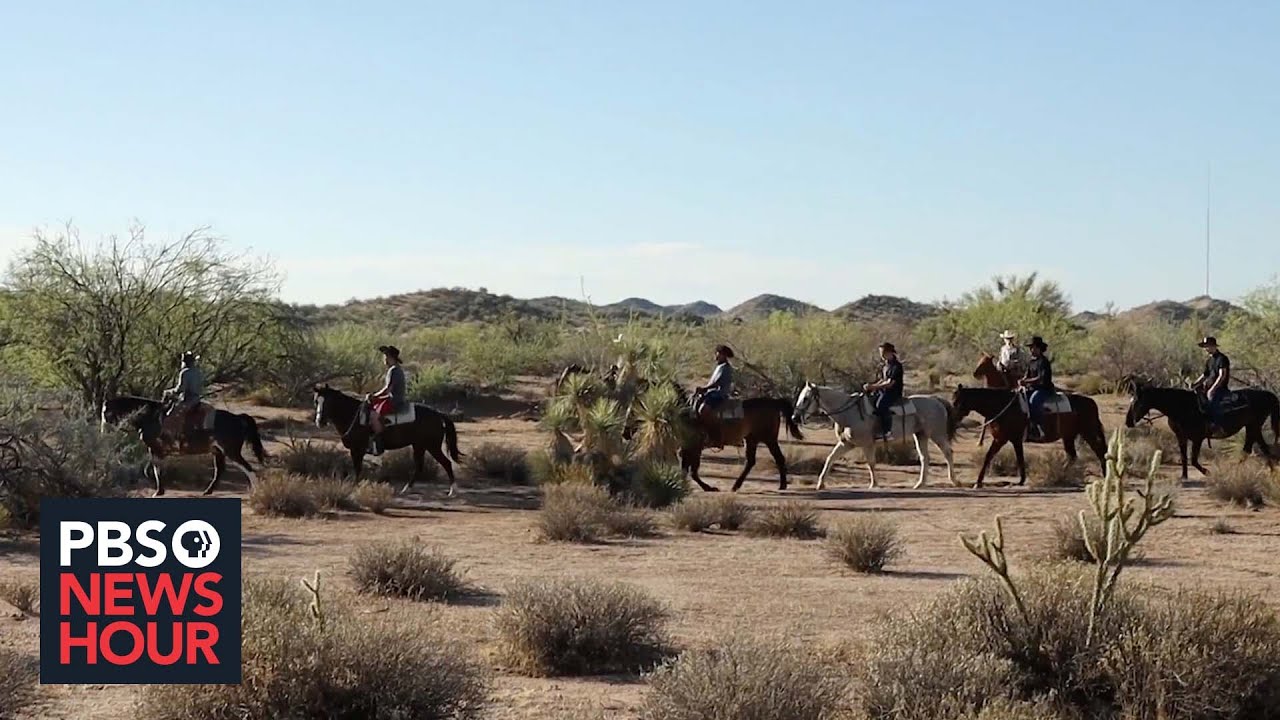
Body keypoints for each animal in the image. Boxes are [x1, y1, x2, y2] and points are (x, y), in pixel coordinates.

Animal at [101, 394, 267, 497]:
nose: (103, 431)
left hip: (231, 452)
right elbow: (154, 469)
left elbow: (154, 470)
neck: (148, 417)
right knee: (220, 471)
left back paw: (256, 491)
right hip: (218, 452)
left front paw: (158, 491)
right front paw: (159, 490)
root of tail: (238, 418)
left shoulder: (155, 449)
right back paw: (207, 491)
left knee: (249, 469)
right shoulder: (158, 451)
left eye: (105, 412)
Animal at [312, 381, 463, 491]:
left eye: (329, 401)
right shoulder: (356, 450)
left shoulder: (357, 449)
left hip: (432, 446)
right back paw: (406, 488)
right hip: (419, 446)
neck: (353, 414)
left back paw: (452, 490)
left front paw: (355, 487)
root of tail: (438, 414)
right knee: (420, 466)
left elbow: (357, 468)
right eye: (316, 401)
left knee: (446, 463)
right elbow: (357, 468)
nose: (319, 421)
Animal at [788, 381, 962, 491]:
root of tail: (936, 400)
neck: (848, 412)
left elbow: (871, 463)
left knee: (948, 453)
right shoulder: (846, 443)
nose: (794, 418)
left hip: (937, 434)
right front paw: (820, 484)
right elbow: (830, 458)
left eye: (805, 398)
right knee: (925, 457)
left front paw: (874, 484)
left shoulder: (866, 444)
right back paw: (920, 484)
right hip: (921, 435)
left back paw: (954, 481)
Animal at [952, 384, 1111, 484]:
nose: (952, 417)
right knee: (1072, 456)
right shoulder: (1001, 439)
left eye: (957, 401)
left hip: (1088, 432)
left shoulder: (1009, 439)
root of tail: (1091, 402)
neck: (1002, 405)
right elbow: (990, 456)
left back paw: (1105, 475)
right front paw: (978, 482)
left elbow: (1017, 458)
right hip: (1069, 436)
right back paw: (1062, 474)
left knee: (1100, 452)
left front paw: (1021, 480)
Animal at [1126, 381, 1274, 476]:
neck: (1183, 407)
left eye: (1137, 402)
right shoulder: (1181, 437)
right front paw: (1184, 477)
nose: (1128, 422)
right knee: (1259, 448)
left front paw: (1207, 472)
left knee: (1252, 449)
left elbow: (1193, 460)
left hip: (1254, 426)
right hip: (1253, 427)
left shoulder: (1198, 438)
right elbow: (1184, 457)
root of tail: (1267, 394)